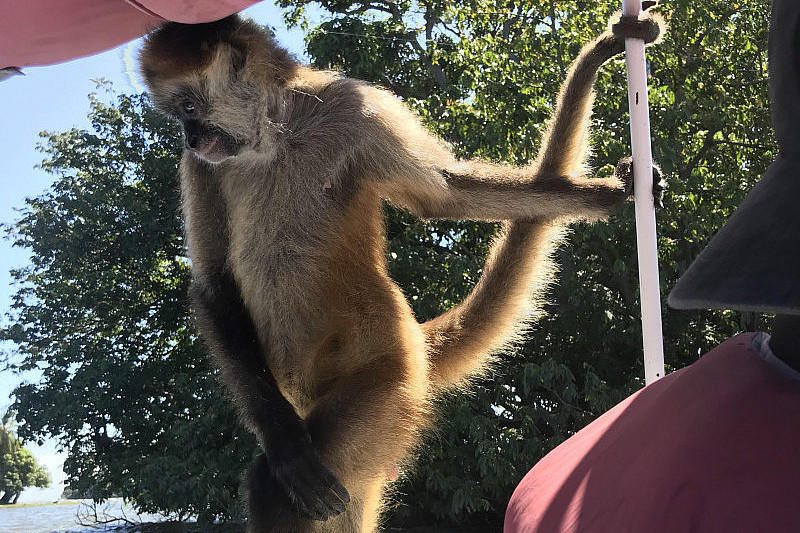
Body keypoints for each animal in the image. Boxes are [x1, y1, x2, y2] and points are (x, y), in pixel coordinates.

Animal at [138, 7, 664, 533]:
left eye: (188, 108)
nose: (188, 138)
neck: (275, 135)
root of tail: (413, 337)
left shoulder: (356, 109)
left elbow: (448, 196)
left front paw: (609, 196)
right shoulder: (201, 165)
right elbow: (213, 284)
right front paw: (281, 438)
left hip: (388, 378)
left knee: (281, 486)